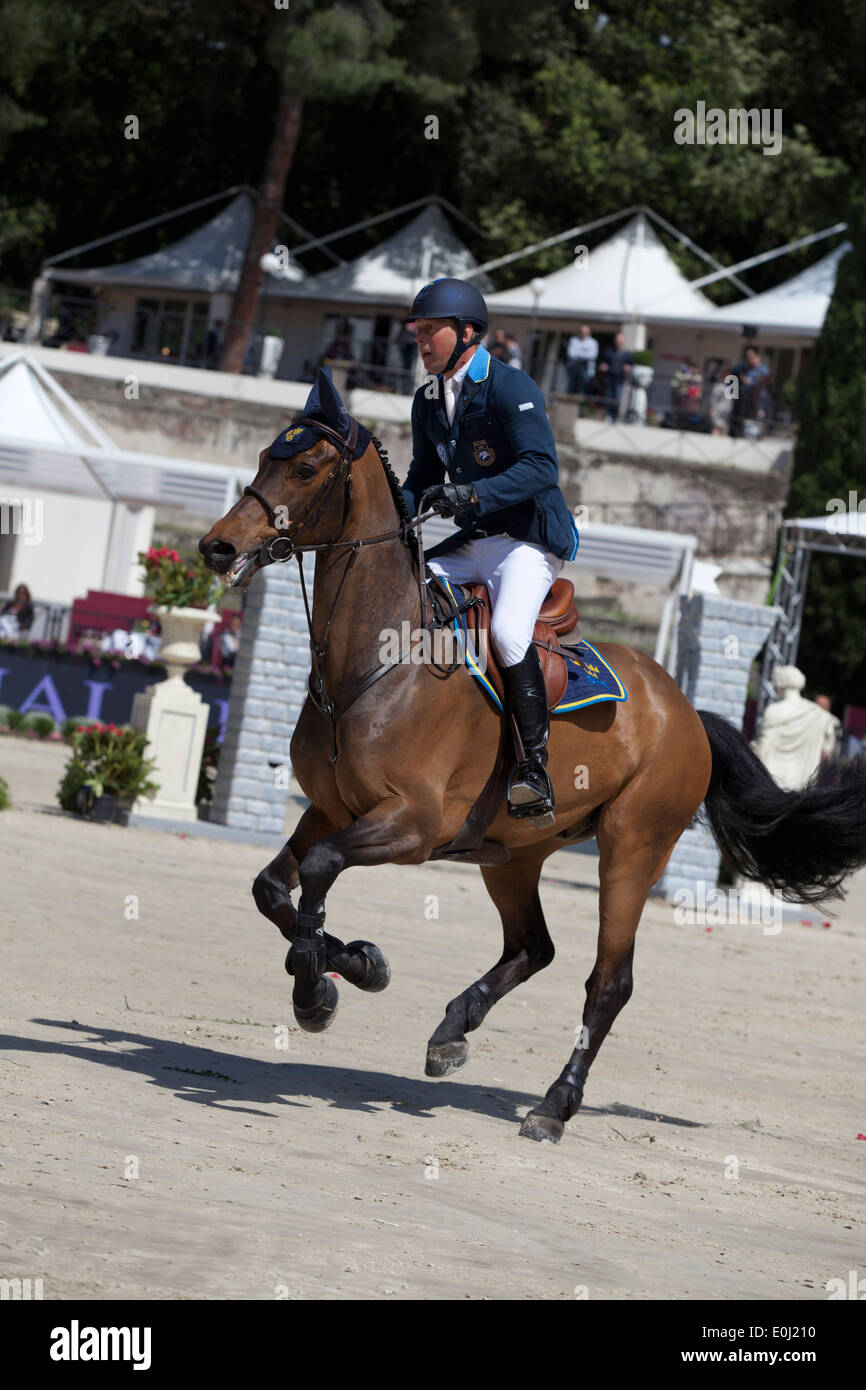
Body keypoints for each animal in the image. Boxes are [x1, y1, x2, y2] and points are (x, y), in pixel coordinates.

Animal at [200, 408, 866, 1139]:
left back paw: (554, 1104)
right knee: (532, 947)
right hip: (513, 854)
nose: (217, 547)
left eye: (304, 469)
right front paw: (351, 967)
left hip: (631, 849)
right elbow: (273, 890)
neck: (377, 662)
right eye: (264, 457)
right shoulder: (329, 809)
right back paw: (452, 1031)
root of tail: (687, 710)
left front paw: (320, 985)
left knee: (608, 982)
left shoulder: (412, 825)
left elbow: (318, 870)